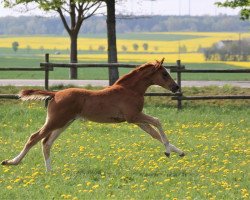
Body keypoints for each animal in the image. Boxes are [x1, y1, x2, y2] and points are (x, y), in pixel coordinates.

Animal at [0, 58, 185, 172]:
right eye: (164, 74)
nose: (176, 87)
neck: (130, 90)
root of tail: (55, 93)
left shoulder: (136, 120)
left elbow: (154, 134)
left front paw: (179, 152)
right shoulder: (134, 117)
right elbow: (158, 122)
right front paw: (168, 152)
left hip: (64, 123)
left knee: (46, 142)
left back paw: (49, 170)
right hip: (56, 121)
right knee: (34, 137)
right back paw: (12, 162)